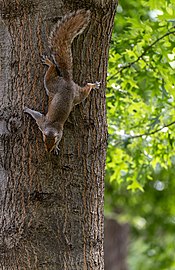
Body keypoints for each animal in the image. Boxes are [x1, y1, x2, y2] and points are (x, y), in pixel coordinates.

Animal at [24, 9, 100, 154]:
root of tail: (67, 81)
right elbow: (36, 115)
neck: (52, 127)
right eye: (44, 140)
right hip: (64, 89)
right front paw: (26, 109)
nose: (48, 150)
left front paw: (57, 148)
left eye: (53, 142)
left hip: (66, 90)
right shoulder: (43, 123)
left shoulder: (53, 127)